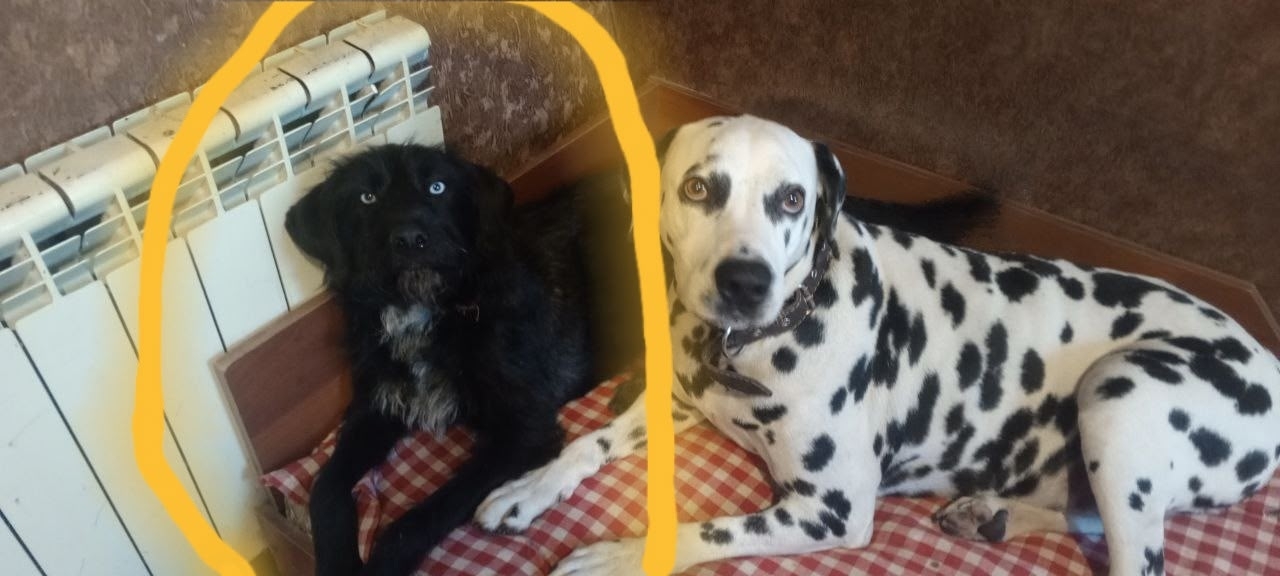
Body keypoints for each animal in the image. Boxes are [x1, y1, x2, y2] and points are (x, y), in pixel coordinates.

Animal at [475, 116, 1280, 576]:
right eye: (699, 188)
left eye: (791, 198)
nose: (745, 281)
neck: (757, 343)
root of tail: (1266, 356)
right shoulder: (680, 400)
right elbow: (593, 441)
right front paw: (529, 486)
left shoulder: (827, 510)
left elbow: (711, 530)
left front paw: (622, 552)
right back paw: (994, 513)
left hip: (1119, 388)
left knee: (1136, 559)